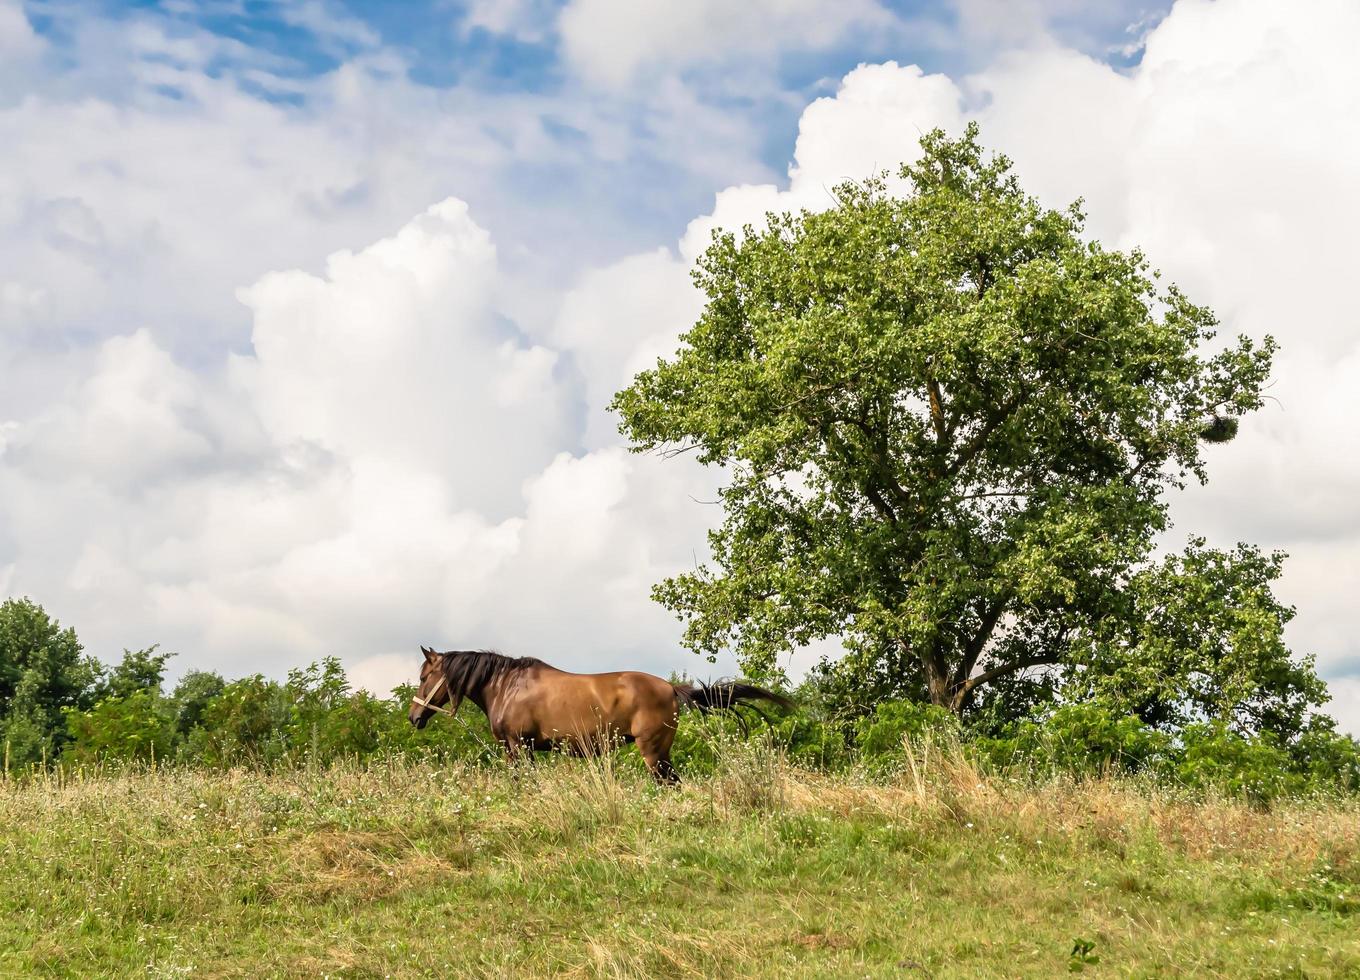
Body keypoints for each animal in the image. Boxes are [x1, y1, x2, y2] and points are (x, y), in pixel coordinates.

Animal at [402, 646, 794, 782]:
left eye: (423, 677)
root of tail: (671, 688)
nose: (413, 717)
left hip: (654, 753)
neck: (506, 686)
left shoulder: (519, 748)